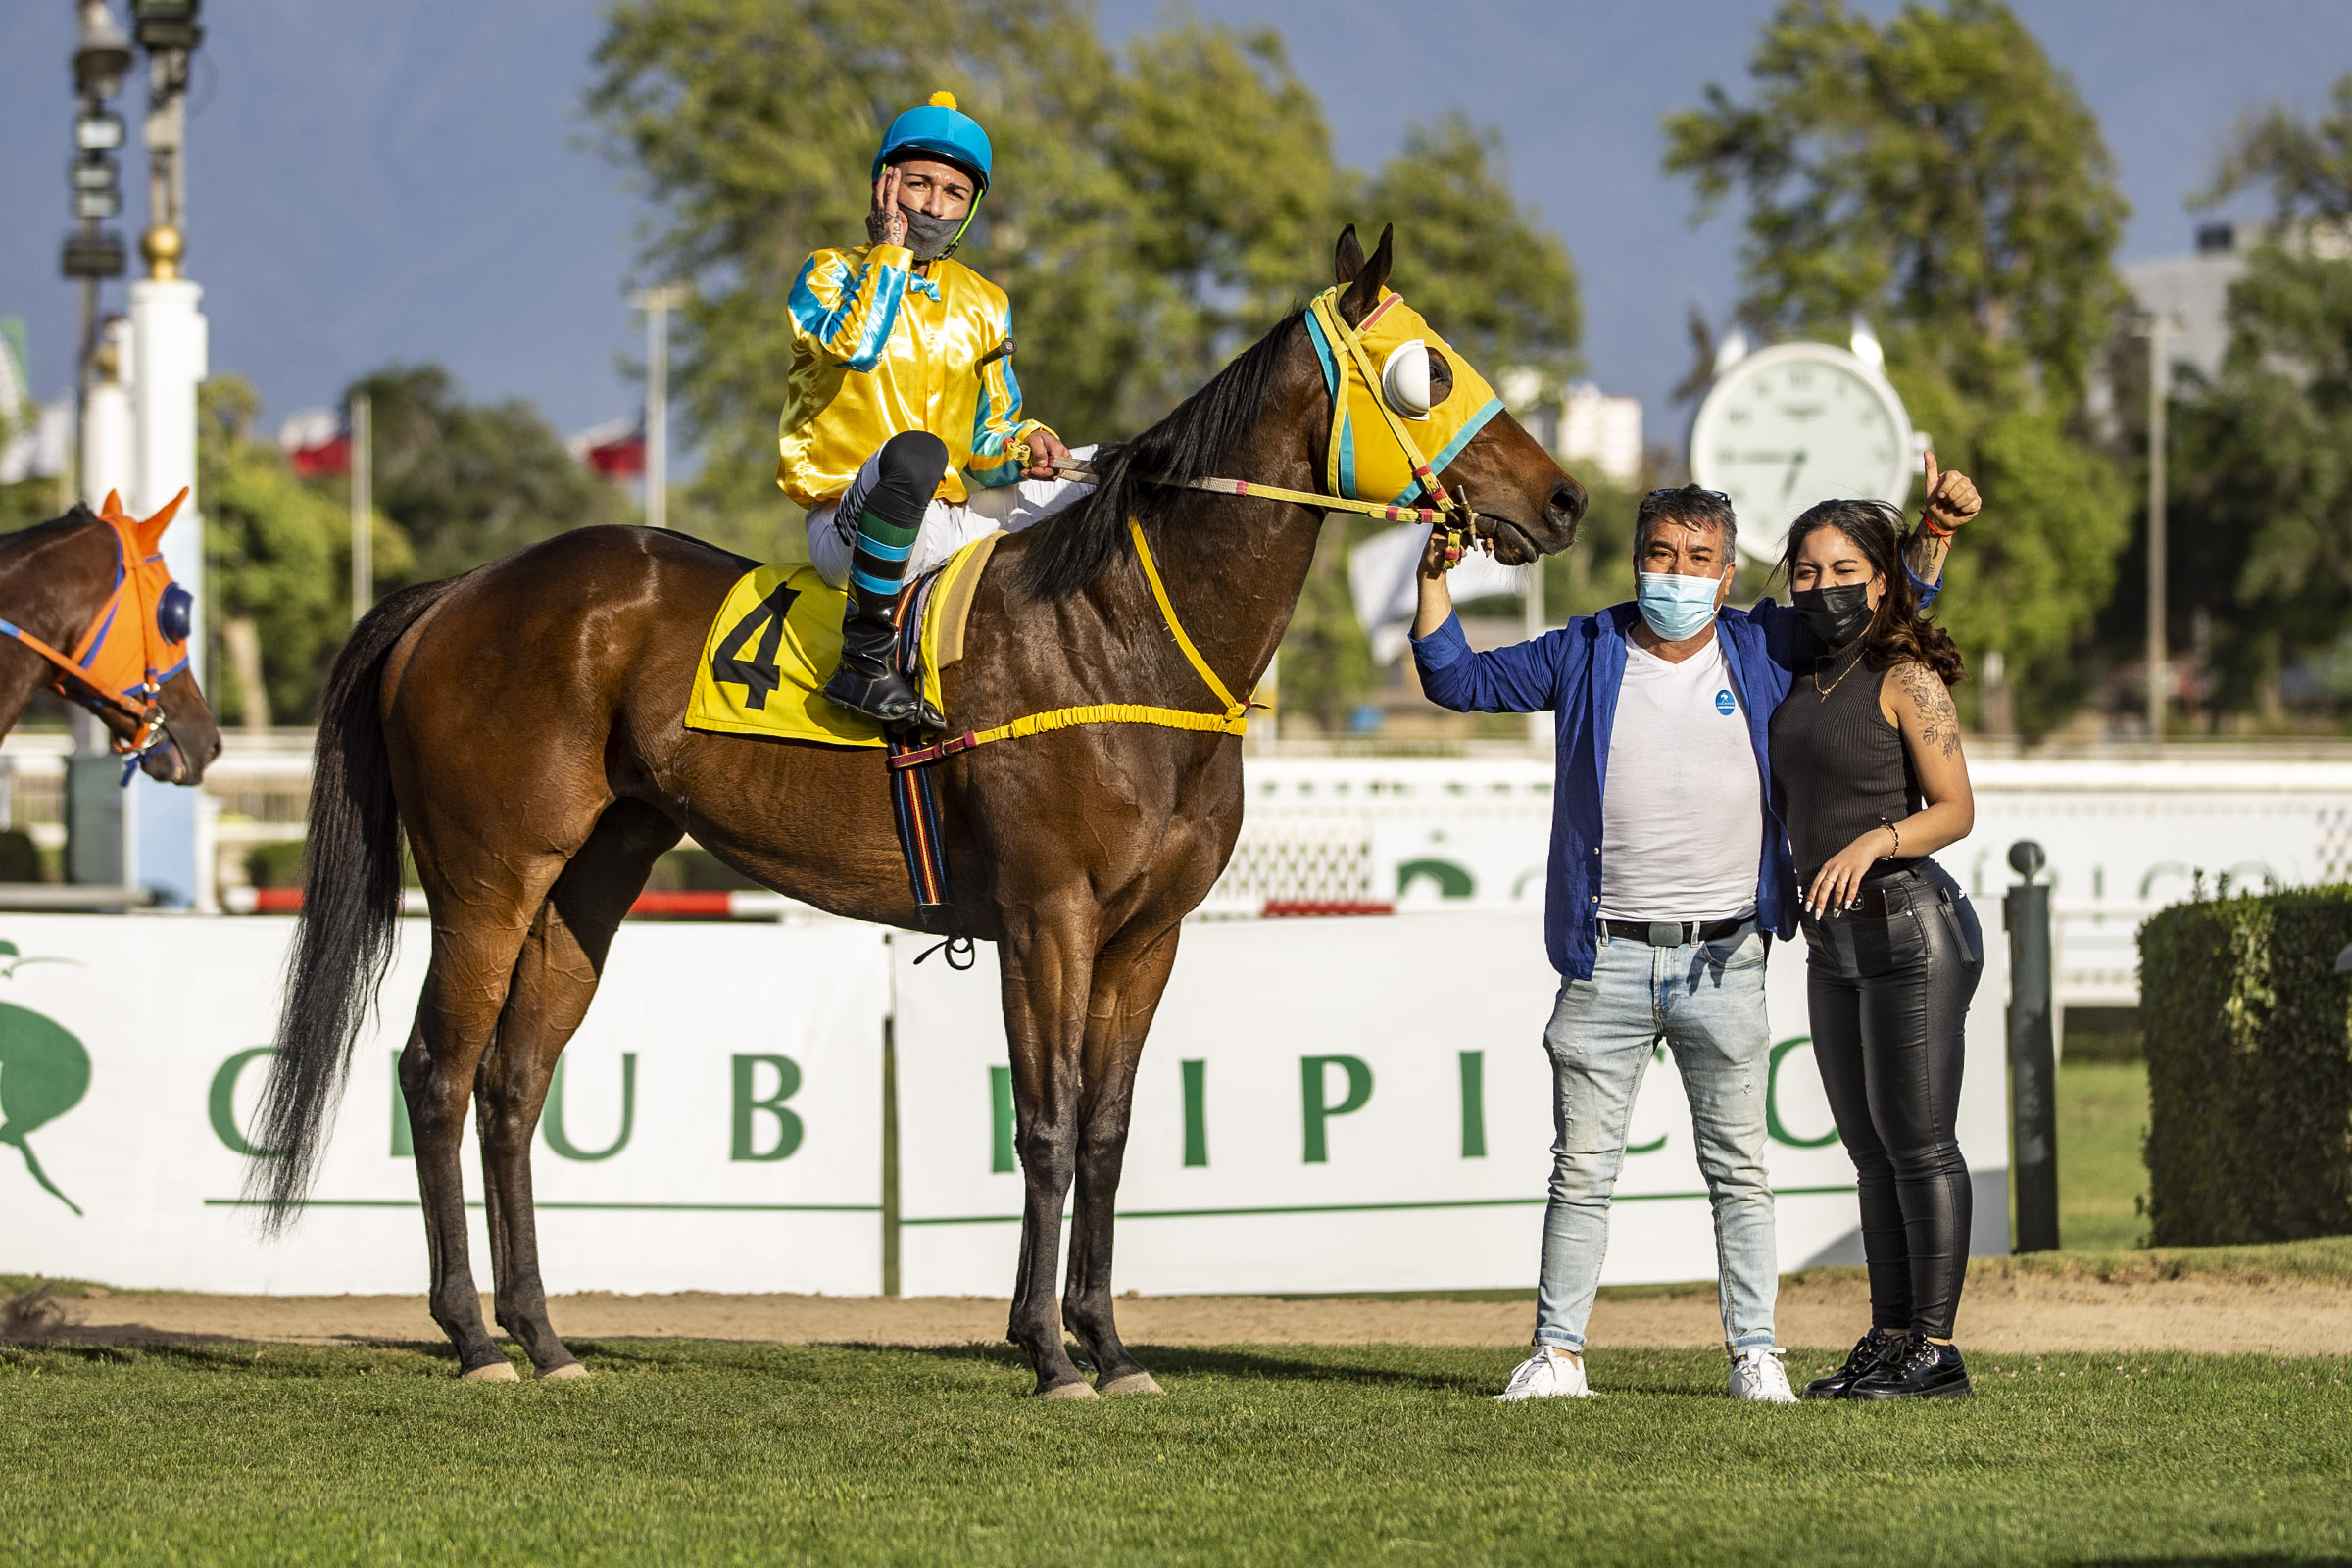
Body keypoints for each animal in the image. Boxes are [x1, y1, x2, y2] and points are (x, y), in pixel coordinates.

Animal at [252, 225, 1586, 1395]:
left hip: (591, 879)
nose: (1568, 499)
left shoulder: (1147, 936)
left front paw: (1109, 1346)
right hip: (487, 878)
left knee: (512, 1085)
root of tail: (459, 591)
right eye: (1427, 370)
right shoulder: (1049, 918)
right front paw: (1049, 1354)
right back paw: (474, 1336)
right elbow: (1045, 1122)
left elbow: (1107, 1130)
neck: (1125, 632)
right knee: (436, 1070)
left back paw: (542, 1335)